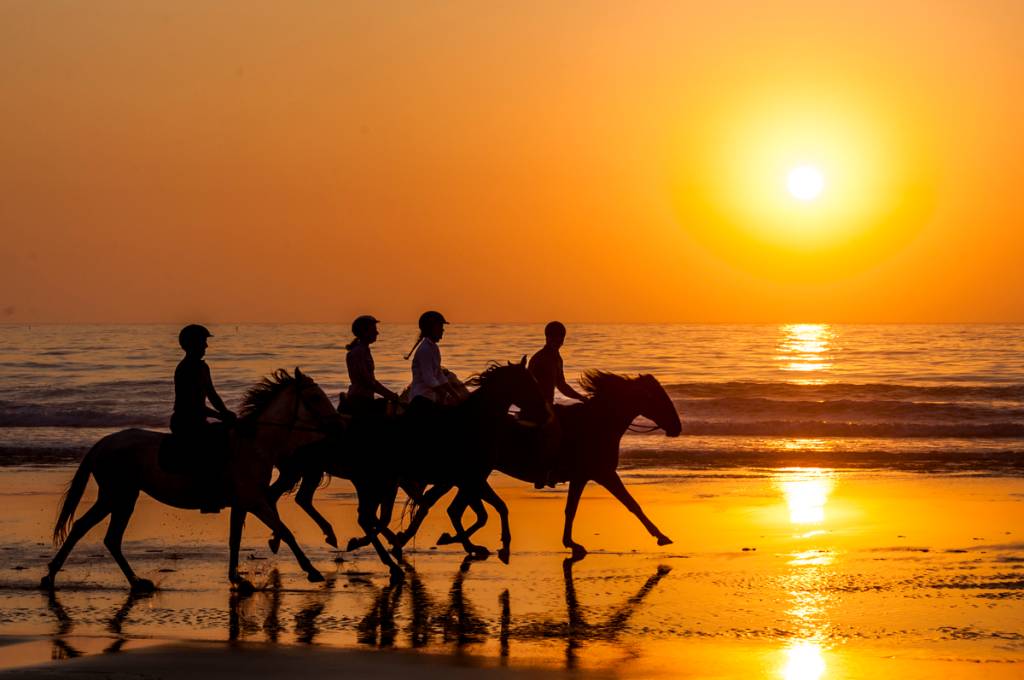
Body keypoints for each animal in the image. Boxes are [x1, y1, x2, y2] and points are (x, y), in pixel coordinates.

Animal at [40, 368, 339, 593]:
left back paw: (132, 582)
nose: (338, 423)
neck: (255, 444)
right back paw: (54, 576)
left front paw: (237, 579)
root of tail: (102, 444)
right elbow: (285, 531)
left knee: (101, 534)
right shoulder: (255, 501)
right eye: (315, 397)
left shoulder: (243, 503)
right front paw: (312, 571)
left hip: (122, 496)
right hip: (118, 495)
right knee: (92, 531)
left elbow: (235, 540)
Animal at [268, 356, 548, 577]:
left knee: (301, 499)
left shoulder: (463, 480)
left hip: (316, 473)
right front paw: (500, 547)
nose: (544, 414)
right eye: (528, 382)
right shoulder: (468, 479)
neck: (470, 423)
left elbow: (472, 510)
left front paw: (466, 543)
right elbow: (482, 510)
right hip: (330, 474)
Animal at [411, 372, 684, 557]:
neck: (597, 424)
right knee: (453, 508)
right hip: (471, 476)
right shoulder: (602, 474)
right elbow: (632, 504)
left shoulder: (583, 477)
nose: (677, 428)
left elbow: (571, 510)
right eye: (659, 398)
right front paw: (662, 537)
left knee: (446, 507)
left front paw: (571, 543)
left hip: (469, 476)